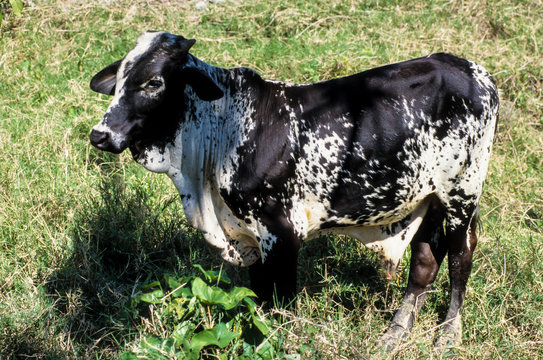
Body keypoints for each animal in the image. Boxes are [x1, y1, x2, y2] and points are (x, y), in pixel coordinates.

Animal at [90, 31, 502, 348]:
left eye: (153, 82)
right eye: (120, 79)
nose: (100, 134)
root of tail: (473, 70)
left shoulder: (283, 232)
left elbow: (282, 303)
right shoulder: (249, 234)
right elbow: (258, 297)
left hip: (462, 193)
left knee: (460, 258)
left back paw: (448, 334)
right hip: (428, 198)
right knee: (425, 260)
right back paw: (397, 332)